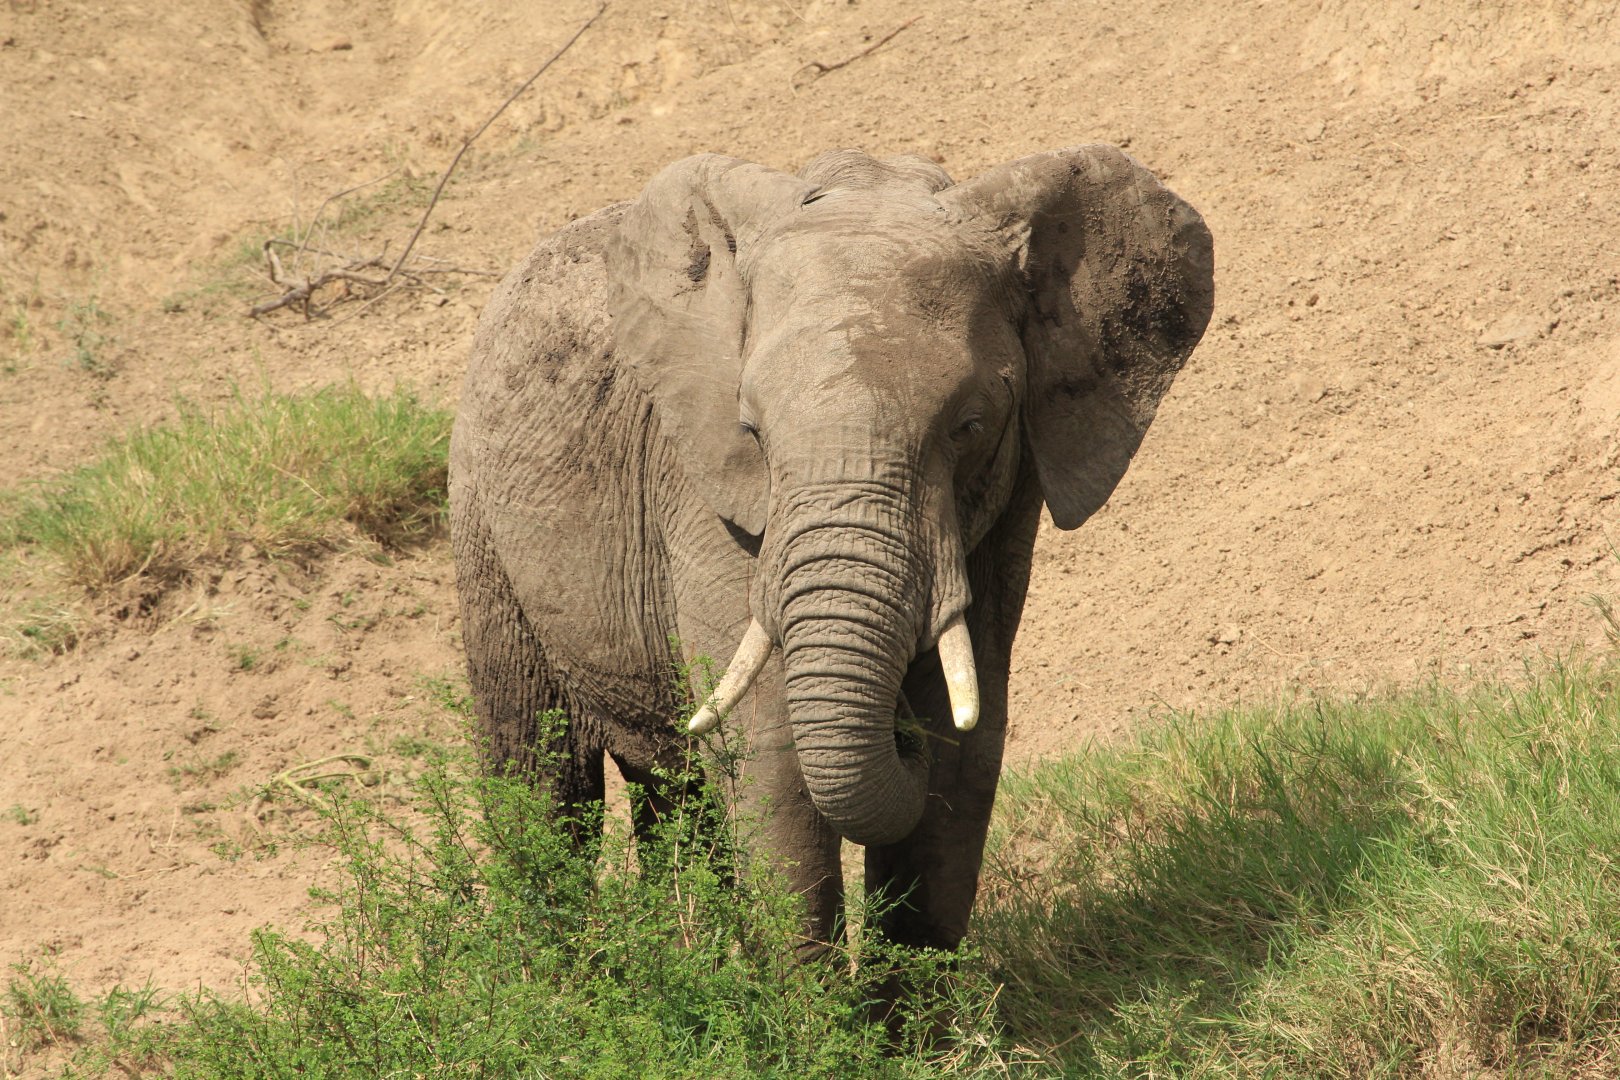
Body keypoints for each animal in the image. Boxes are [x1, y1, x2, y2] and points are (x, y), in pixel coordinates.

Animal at [449, 143, 1213, 956]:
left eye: (970, 426)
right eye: (752, 430)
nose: (899, 733)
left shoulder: (1013, 502)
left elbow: (963, 764)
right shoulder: (713, 503)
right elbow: (774, 764)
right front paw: (804, 999)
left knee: (671, 794)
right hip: (480, 526)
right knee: (540, 777)